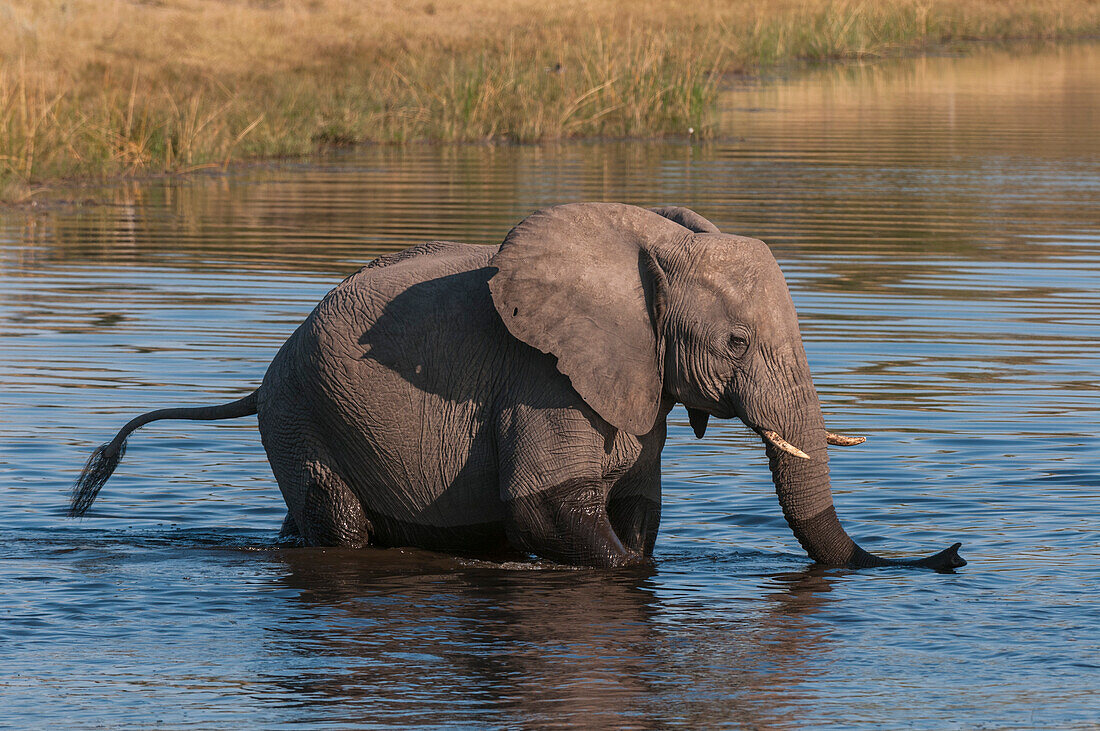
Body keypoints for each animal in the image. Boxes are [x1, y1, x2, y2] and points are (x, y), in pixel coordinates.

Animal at [66, 201, 963, 571]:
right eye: (736, 342)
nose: (952, 552)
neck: (650, 242)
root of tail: (258, 382)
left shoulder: (635, 380)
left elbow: (637, 507)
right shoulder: (542, 377)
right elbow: (548, 508)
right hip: (301, 414)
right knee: (342, 528)